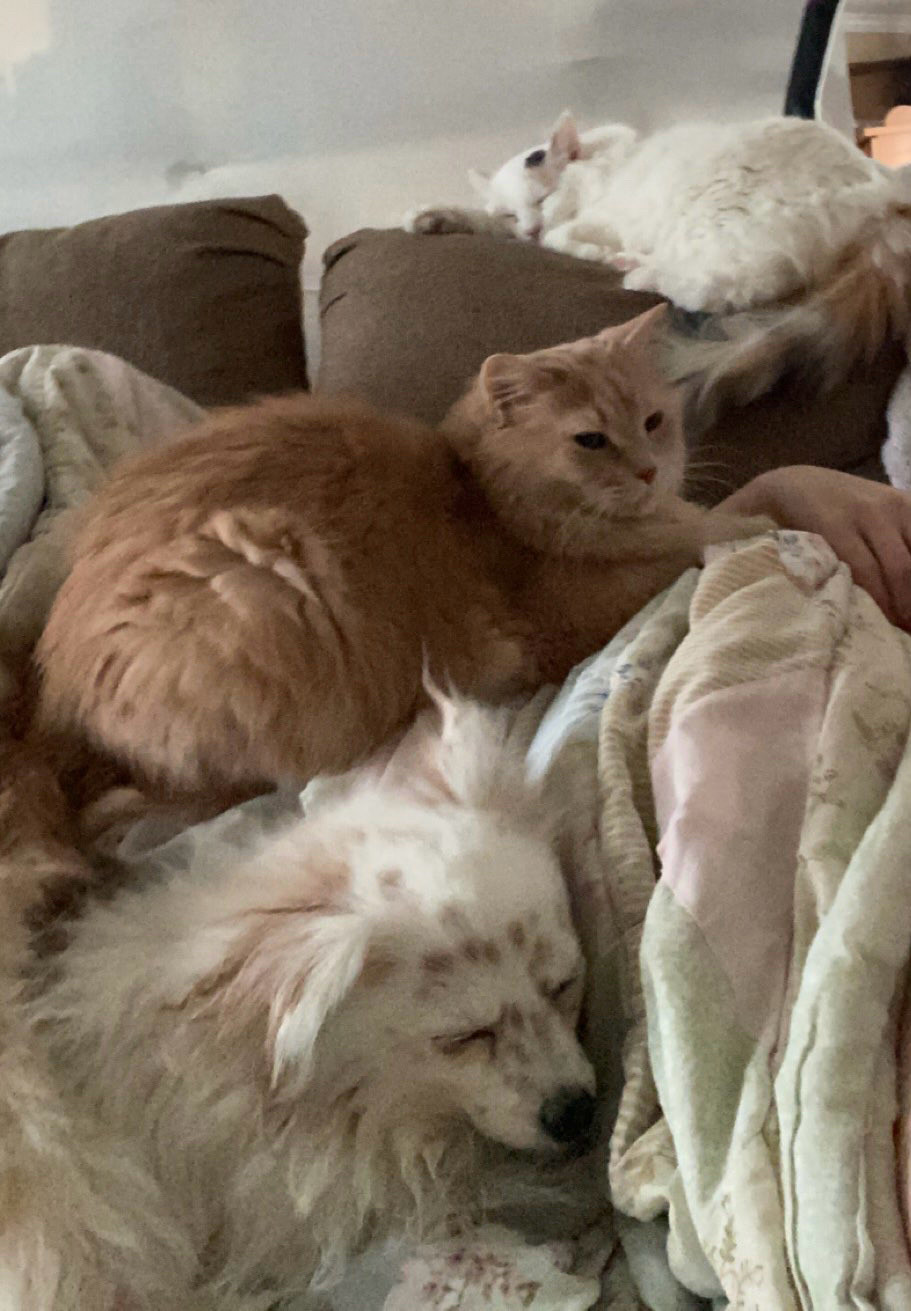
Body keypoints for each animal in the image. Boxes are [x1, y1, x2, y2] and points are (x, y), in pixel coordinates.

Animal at [32, 306, 765, 797]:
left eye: (652, 422)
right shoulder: (569, 621)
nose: (648, 471)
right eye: (590, 440)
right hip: (261, 575)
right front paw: (751, 521)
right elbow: (719, 532)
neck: (490, 502)